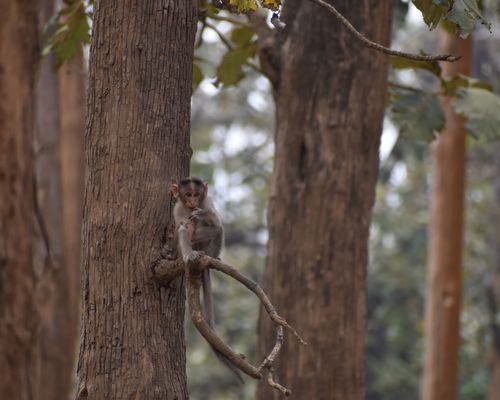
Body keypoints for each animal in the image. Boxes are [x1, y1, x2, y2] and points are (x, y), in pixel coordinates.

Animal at [170, 177, 244, 382]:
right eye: (188, 194)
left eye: (196, 195)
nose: (193, 202)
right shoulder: (177, 209)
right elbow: (181, 226)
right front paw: (188, 232)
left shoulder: (207, 202)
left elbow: (215, 221)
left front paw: (201, 215)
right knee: (183, 231)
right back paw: (190, 254)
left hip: (211, 248)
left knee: (217, 229)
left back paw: (210, 256)